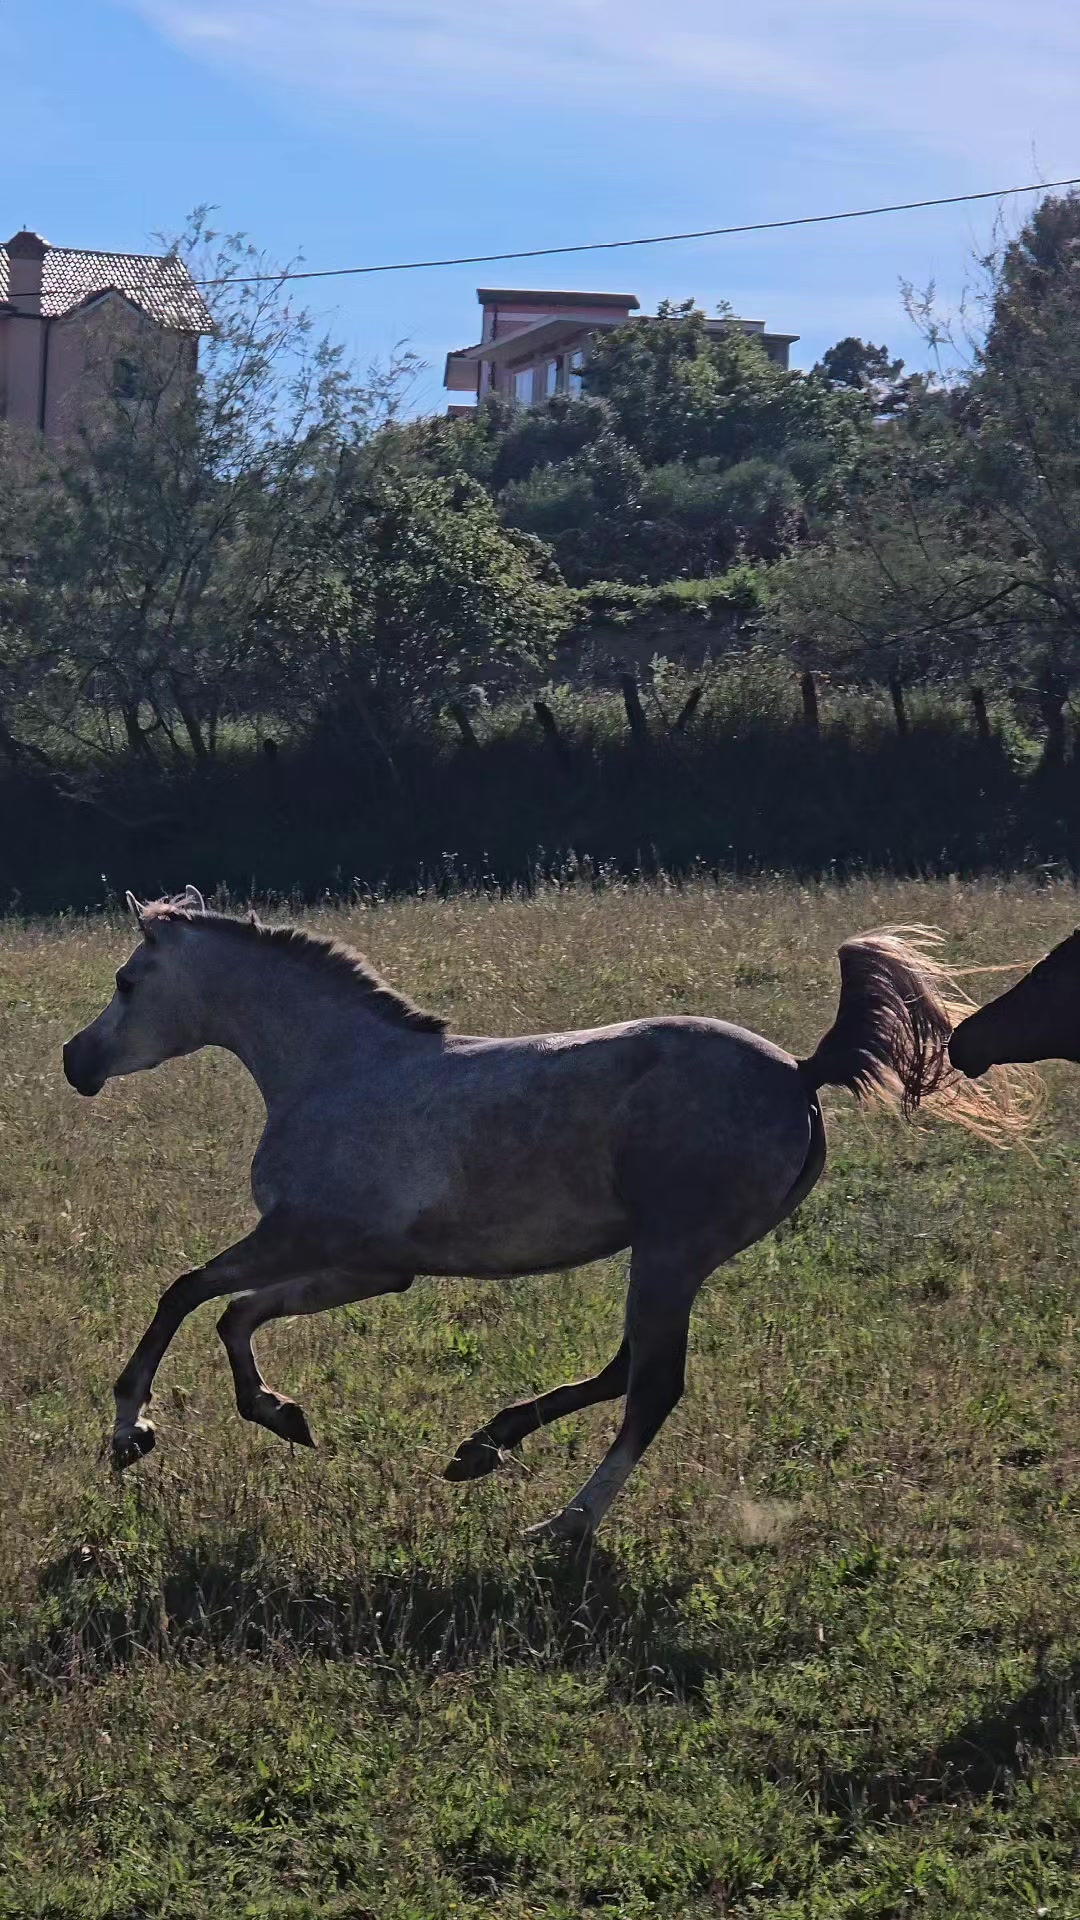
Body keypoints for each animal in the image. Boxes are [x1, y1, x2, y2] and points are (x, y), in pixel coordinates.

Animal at [62, 888, 1014, 1543]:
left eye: (126, 981)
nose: (76, 1061)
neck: (336, 1070)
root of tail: (801, 1072)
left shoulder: (302, 1236)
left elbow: (187, 1293)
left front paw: (130, 1431)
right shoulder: (367, 1265)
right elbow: (236, 1315)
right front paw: (282, 1414)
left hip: (671, 1253)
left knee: (652, 1388)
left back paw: (564, 1523)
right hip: (673, 1258)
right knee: (626, 1371)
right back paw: (485, 1445)